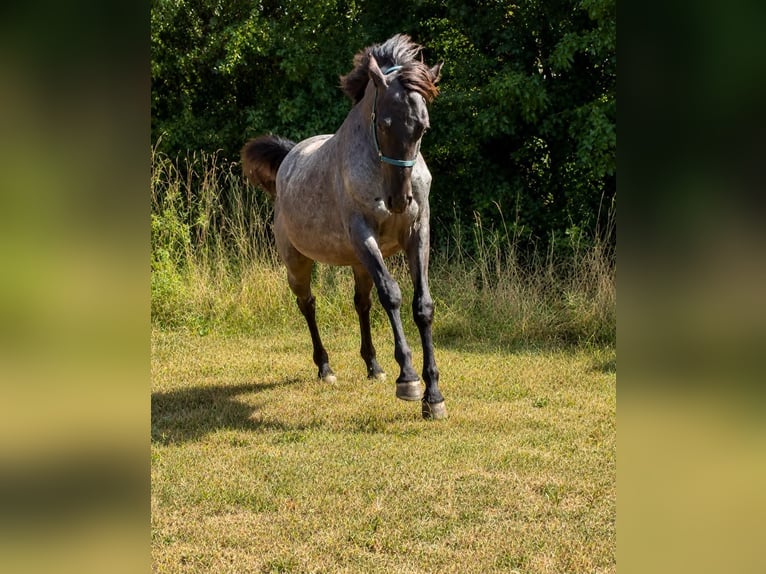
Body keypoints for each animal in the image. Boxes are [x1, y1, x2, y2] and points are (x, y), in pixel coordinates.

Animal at [241, 34, 446, 420]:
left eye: (422, 127)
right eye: (384, 123)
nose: (399, 200)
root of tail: (288, 158)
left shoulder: (418, 233)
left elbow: (422, 306)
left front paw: (434, 396)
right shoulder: (363, 235)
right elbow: (392, 295)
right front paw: (409, 380)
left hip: (358, 262)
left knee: (361, 303)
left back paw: (374, 366)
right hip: (298, 263)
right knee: (308, 304)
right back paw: (325, 368)